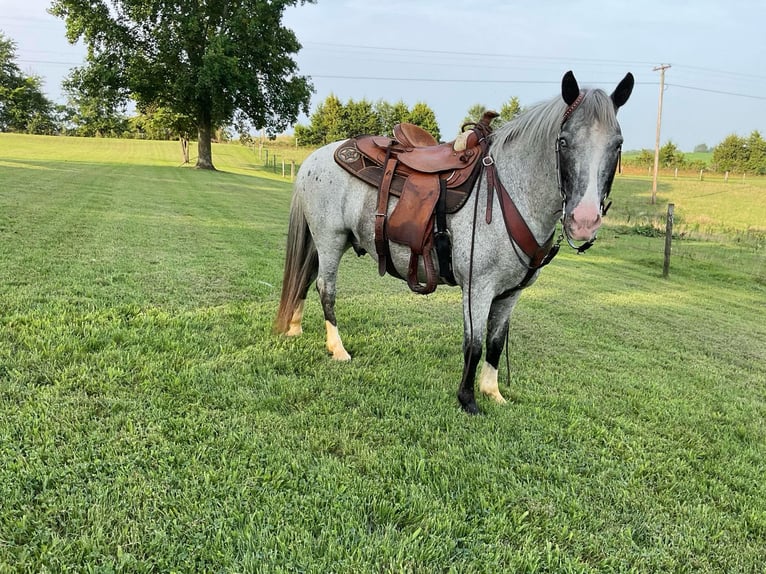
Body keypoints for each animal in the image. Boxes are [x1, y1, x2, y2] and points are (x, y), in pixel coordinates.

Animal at [275, 71, 634, 414]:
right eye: (563, 141)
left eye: (617, 144)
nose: (584, 220)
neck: (509, 192)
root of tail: (314, 159)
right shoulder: (478, 287)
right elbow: (473, 343)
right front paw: (467, 399)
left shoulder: (510, 293)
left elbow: (495, 342)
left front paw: (492, 392)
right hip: (330, 239)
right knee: (326, 288)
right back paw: (337, 348)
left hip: (327, 241)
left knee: (305, 277)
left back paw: (294, 327)